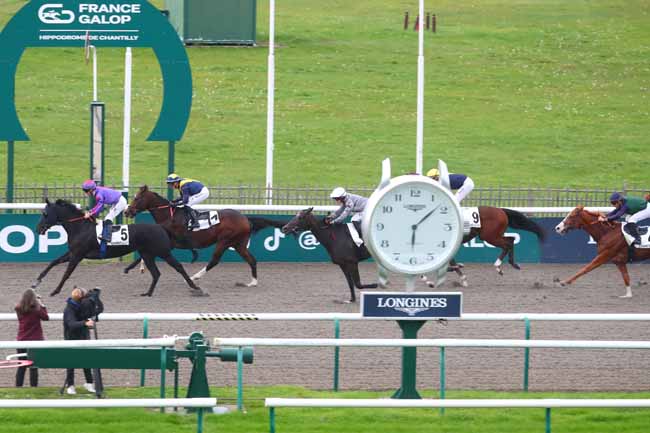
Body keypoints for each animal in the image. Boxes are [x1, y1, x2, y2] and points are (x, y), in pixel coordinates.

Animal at [33, 199, 205, 296]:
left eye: (45, 214)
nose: (38, 228)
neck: (80, 227)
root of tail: (161, 227)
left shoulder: (77, 255)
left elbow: (66, 274)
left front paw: (55, 290)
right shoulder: (72, 253)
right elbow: (53, 262)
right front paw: (36, 282)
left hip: (163, 252)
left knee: (178, 267)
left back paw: (196, 287)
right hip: (147, 254)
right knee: (156, 273)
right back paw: (148, 293)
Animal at [124, 184, 286, 286]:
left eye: (137, 198)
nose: (127, 211)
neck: (168, 216)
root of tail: (245, 218)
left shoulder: (172, 242)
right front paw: (130, 268)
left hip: (224, 241)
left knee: (214, 261)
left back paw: (194, 277)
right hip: (238, 244)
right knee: (251, 260)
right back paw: (252, 282)